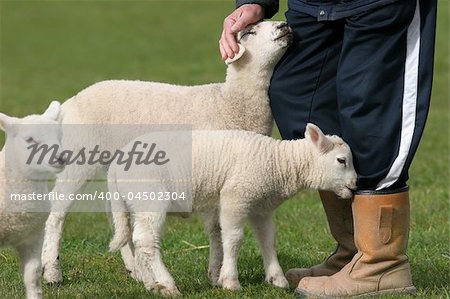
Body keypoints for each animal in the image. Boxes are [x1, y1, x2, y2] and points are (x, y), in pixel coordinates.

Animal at [43, 20, 296, 284]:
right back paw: (52, 271)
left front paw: (215, 273)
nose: (283, 24)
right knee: (57, 213)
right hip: (78, 160)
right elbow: (216, 229)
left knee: (117, 217)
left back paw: (134, 269)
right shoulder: (213, 173)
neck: (228, 104)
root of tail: (68, 104)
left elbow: (217, 230)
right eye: (249, 32)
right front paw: (218, 274)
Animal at [107, 124, 356, 298]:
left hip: (136, 202)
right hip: (151, 197)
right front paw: (230, 281)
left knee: (136, 239)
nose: (355, 185)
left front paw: (277, 279)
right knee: (147, 240)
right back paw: (168, 284)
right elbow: (233, 238)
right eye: (341, 160)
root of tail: (115, 167)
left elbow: (267, 239)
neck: (277, 163)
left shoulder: (261, 207)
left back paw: (150, 284)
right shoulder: (235, 197)